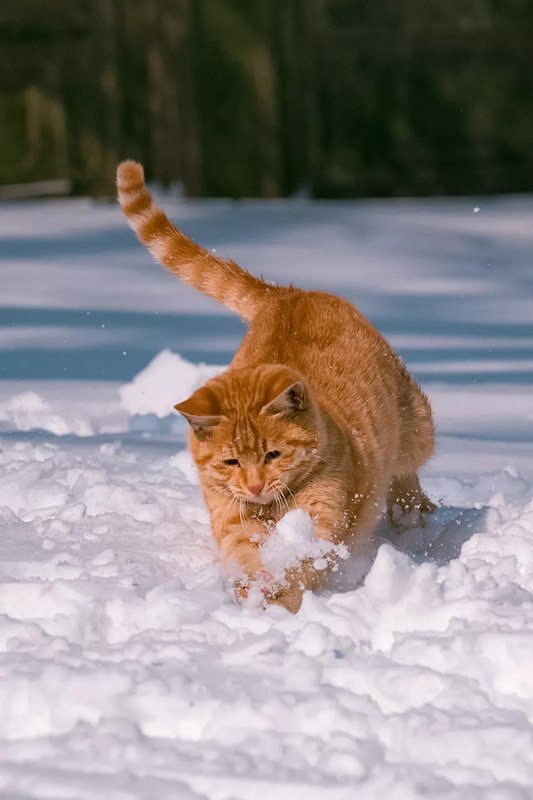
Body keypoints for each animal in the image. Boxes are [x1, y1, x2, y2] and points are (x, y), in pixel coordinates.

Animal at [115, 162, 432, 612]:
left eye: (273, 454)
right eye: (231, 461)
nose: (255, 486)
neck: (273, 509)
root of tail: (289, 294)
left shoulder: (321, 519)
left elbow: (302, 561)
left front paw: (285, 598)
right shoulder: (233, 520)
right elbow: (246, 557)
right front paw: (255, 595)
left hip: (415, 428)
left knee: (406, 470)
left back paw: (411, 511)